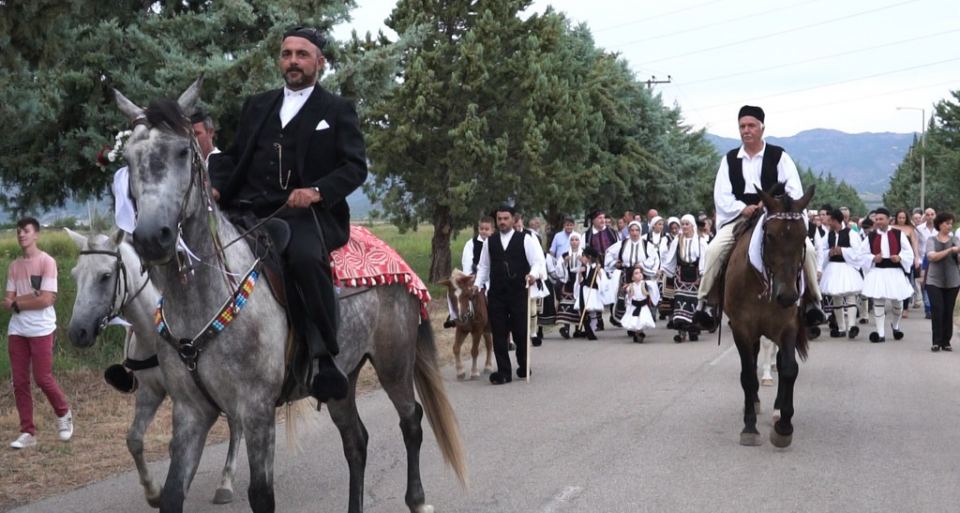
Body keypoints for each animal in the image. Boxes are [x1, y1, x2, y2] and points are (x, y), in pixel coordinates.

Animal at [65, 231, 242, 504]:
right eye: (75, 275)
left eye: (105, 276)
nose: (78, 332)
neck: (153, 331)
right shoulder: (150, 390)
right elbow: (134, 440)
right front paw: (154, 491)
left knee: (236, 424)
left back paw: (226, 482)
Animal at [106, 80, 464, 512]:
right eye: (129, 158)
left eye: (182, 152)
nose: (151, 237)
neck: (201, 301)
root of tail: (396, 261)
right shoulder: (191, 411)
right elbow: (173, 494)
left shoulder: (256, 409)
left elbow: (262, 495)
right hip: (343, 376)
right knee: (356, 441)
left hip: (394, 360)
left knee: (411, 422)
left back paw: (418, 500)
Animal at [724, 182, 812, 446]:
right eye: (770, 236)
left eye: (803, 235)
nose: (788, 296)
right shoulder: (741, 328)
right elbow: (747, 375)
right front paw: (749, 427)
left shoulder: (788, 327)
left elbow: (789, 369)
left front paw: (784, 425)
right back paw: (753, 404)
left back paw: (776, 411)